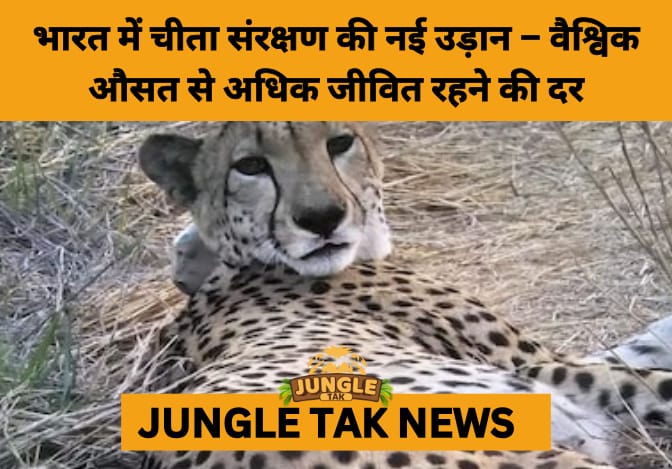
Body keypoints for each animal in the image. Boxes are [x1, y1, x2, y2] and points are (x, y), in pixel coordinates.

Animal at [137, 121, 672, 469]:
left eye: (339, 143)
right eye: (249, 167)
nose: (321, 218)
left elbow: (640, 344)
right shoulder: (541, 366)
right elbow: (649, 373)